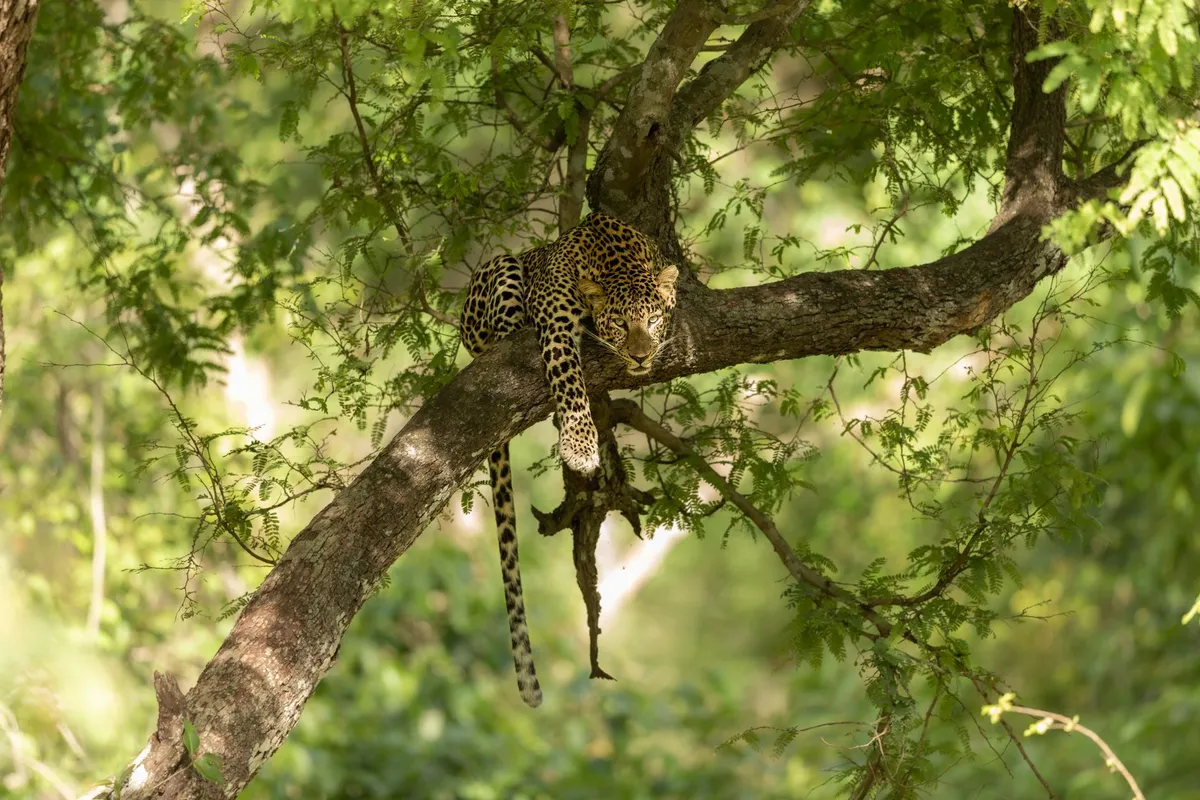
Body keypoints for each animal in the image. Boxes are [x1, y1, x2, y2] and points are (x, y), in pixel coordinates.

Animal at [459, 211, 679, 707]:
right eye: (620, 324)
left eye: (653, 320)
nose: (640, 356)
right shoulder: (556, 322)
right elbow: (569, 378)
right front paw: (580, 446)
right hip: (500, 273)